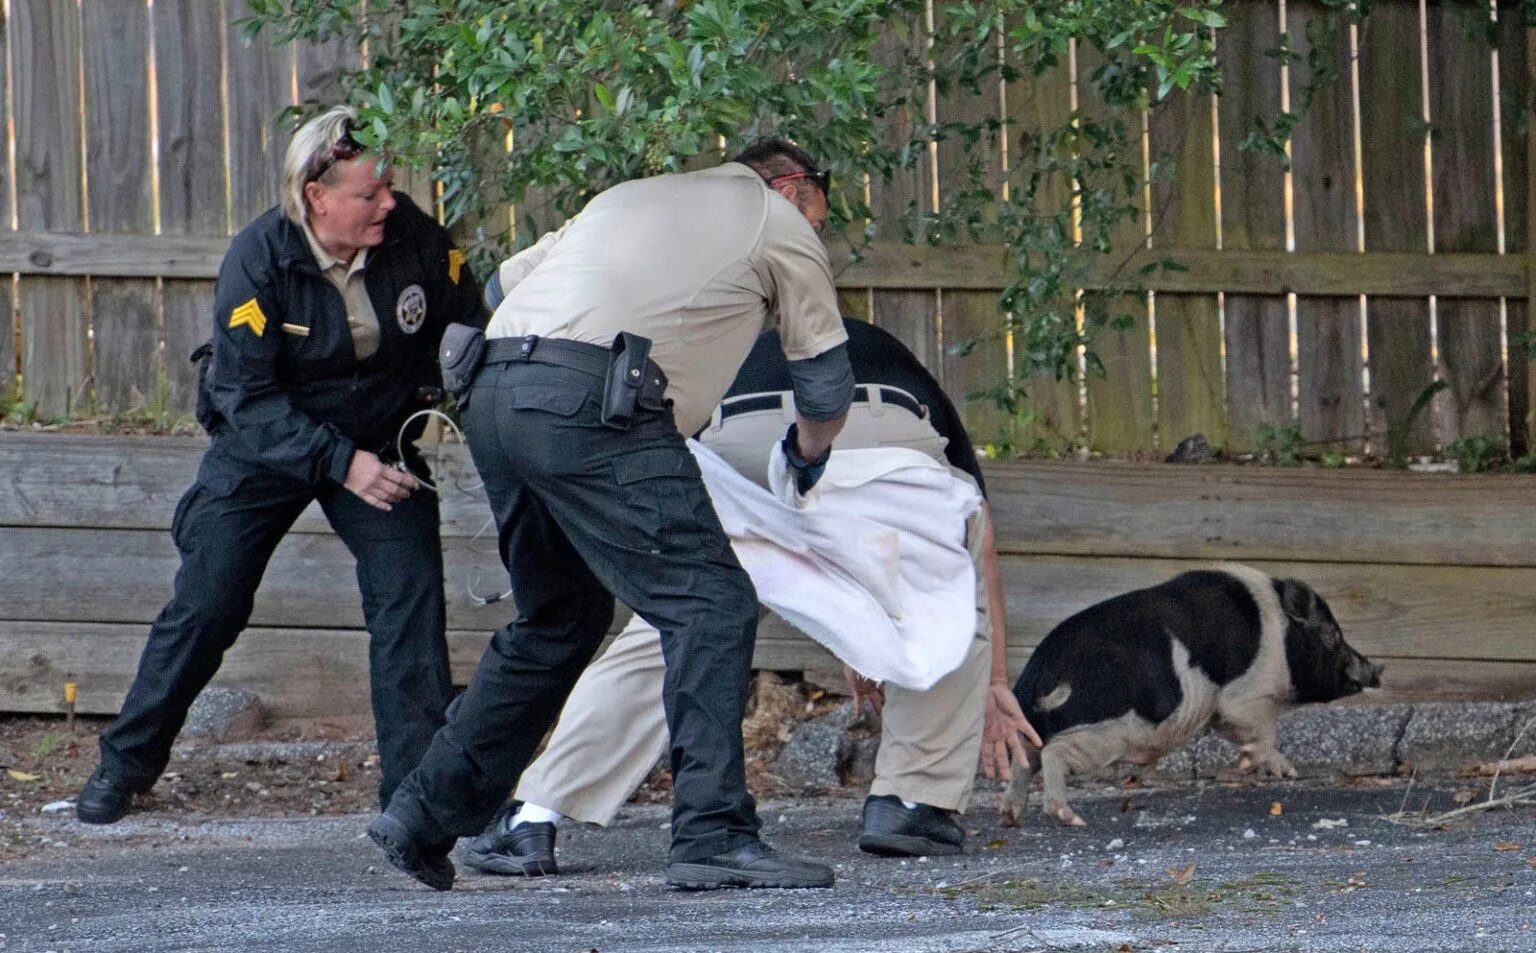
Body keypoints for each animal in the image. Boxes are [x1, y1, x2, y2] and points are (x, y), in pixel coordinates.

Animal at [1007, 565, 1382, 823]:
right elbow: (1263, 730)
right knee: (1051, 752)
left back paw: (1009, 815)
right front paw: (1268, 768)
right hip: (1107, 733)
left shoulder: (1222, 715)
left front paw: (1267, 768)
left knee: (1026, 755)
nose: (1375, 669)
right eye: (1333, 636)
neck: (1281, 636)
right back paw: (1067, 817)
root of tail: (1039, 674)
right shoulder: (1242, 697)